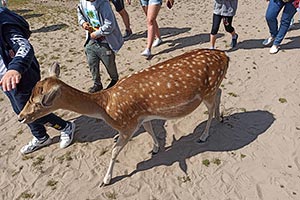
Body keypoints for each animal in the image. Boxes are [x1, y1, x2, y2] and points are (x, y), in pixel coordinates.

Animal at [17, 48, 230, 186]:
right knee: (219, 93)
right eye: (29, 94)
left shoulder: (127, 125)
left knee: (211, 107)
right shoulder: (142, 117)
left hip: (207, 90)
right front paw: (155, 149)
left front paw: (105, 180)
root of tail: (225, 56)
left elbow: (114, 151)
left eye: (39, 102)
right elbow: (150, 130)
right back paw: (220, 118)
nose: (20, 117)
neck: (106, 106)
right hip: (212, 88)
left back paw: (204, 135)